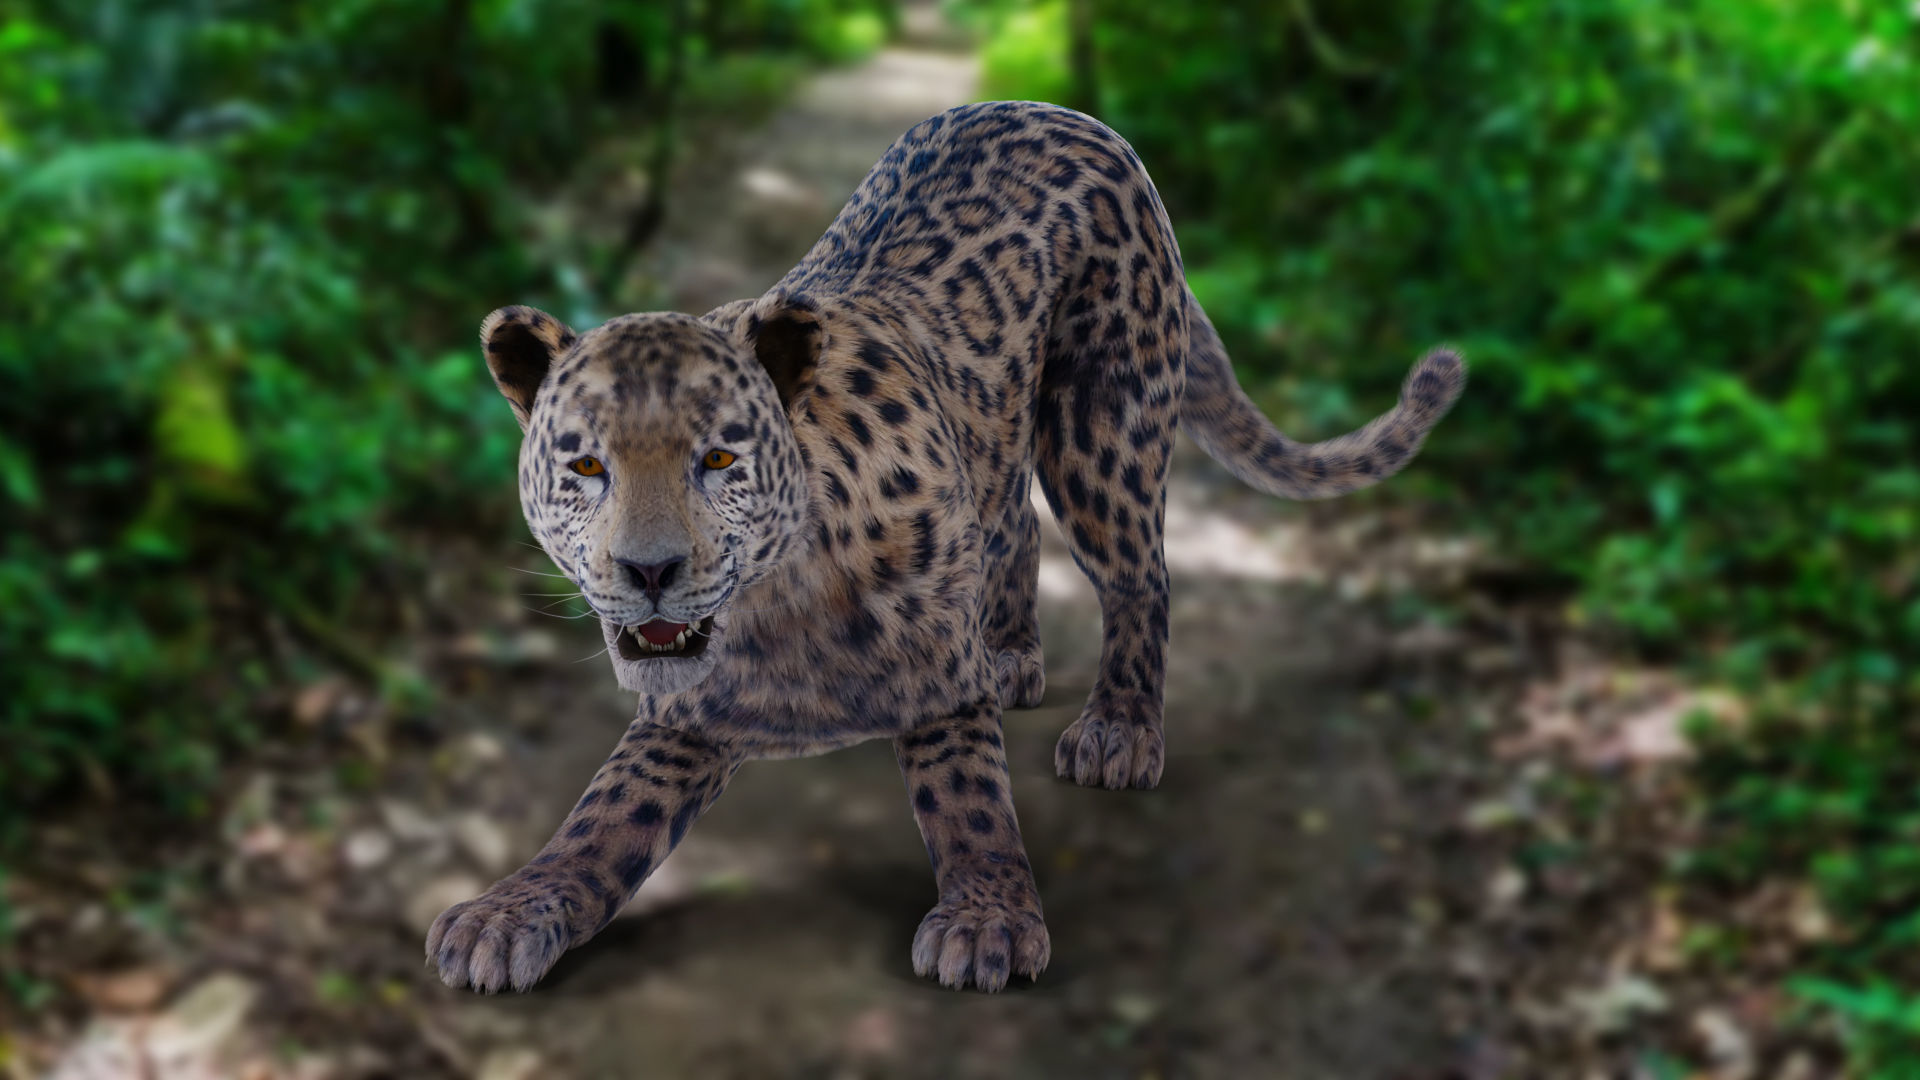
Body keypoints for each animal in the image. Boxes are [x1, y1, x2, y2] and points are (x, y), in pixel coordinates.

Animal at [427, 100, 1465, 994]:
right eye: (586, 464)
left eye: (719, 457)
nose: (649, 572)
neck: (780, 599)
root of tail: (1069, 114)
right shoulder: (685, 718)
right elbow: (601, 817)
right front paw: (503, 914)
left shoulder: (933, 680)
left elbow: (968, 795)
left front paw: (986, 922)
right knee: (1013, 522)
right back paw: (1008, 653)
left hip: (1101, 428)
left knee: (1141, 575)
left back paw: (1121, 730)